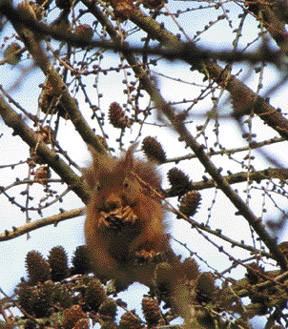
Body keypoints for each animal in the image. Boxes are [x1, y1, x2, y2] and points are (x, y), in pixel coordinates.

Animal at [82, 145, 171, 286]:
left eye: (126, 184)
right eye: (98, 187)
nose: (112, 202)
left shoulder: (145, 202)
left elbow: (144, 213)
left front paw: (130, 213)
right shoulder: (92, 210)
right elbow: (94, 221)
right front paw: (102, 220)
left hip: (151, 234)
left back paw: (146, 253)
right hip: (97, 249)